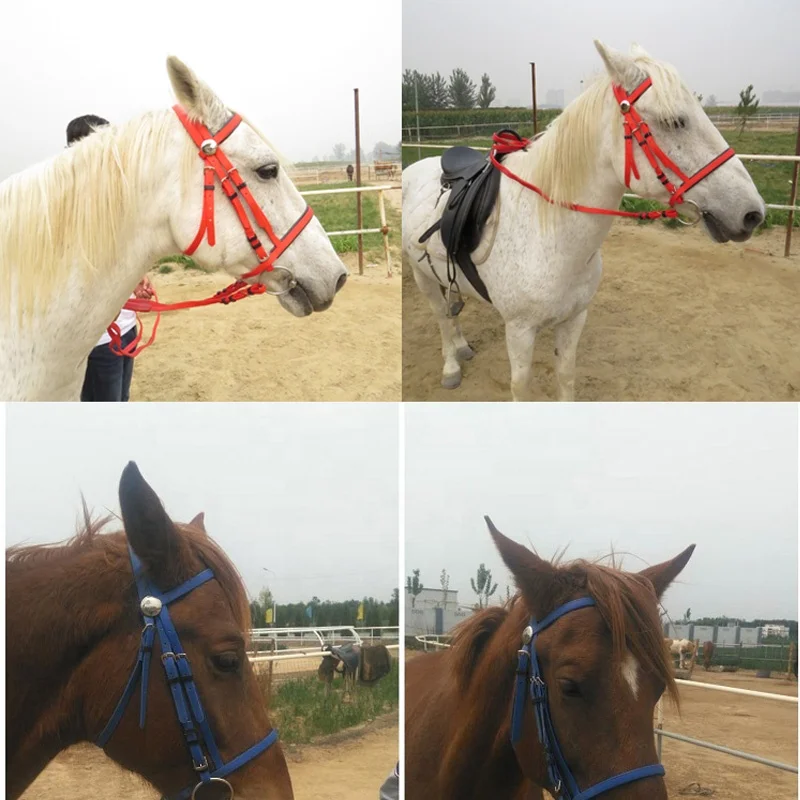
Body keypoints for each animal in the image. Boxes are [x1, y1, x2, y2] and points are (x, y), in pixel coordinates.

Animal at [402, 40, 765, 401]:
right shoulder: (519, 331)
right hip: (422, 278)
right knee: (441, 317)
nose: (753, 213)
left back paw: (462, 347)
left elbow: (566, 377)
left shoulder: (574, 319)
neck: (550, 236)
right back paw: (451, 366)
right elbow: (520, 387)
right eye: (675, 121)